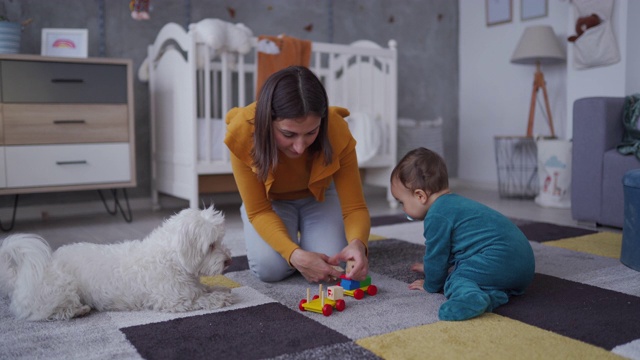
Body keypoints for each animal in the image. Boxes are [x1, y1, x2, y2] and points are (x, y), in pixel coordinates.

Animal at [0, 205, 235, 320]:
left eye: (220, 240)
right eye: (211, 245)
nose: (229, 261)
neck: (172, 260)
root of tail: (18, 277)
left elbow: (204, 289)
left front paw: (220, 290)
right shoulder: (173, 300)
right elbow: (200, 300)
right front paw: (220, 298)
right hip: (60, 289)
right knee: (46, 313)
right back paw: (78, 310)